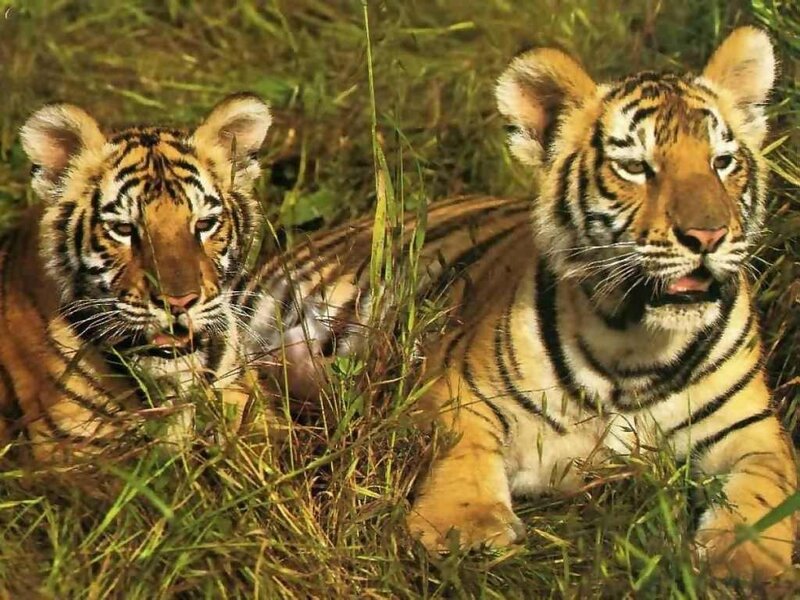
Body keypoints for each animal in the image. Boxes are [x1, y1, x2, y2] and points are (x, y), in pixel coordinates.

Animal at [239, 27, 798, 580]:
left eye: (722, 163)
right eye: (635, 168)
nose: (708, 236)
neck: (634, 344)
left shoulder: (754, 431)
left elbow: (766, 492)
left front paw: (748, 563)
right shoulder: (455, 389)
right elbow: (461, 451)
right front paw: (461, 529)